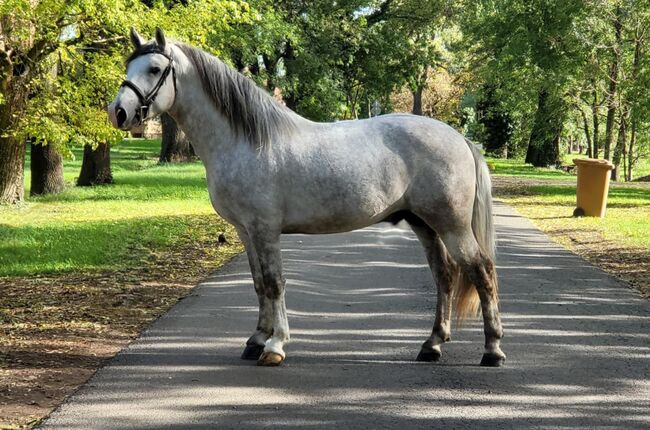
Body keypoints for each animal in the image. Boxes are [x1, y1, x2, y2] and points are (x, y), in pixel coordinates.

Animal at [106, 28, 504, 368]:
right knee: (444, 275)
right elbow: (258, 283)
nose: (119, 112)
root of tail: (459, 138)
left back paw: (492, 349)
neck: (246, 140)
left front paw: (275, 346)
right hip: (424, 224)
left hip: (451, 226)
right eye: (128, 65)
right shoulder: (245, 231)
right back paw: (432, 345)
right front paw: (256, 339)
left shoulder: (265, 229)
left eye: (155, 68)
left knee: (481, 270)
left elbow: (274, 282)